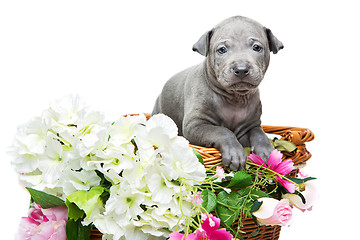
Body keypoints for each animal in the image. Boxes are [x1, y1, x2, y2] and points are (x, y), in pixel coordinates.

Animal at [152, 16, 284, 171]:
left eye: (257, 47)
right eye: (222, 50)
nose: (241, 69)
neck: (235, 98)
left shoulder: (251, 126)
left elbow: (259, 133)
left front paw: (267, 151)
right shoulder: (194, 125)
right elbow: (223, 131)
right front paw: (234, 154)